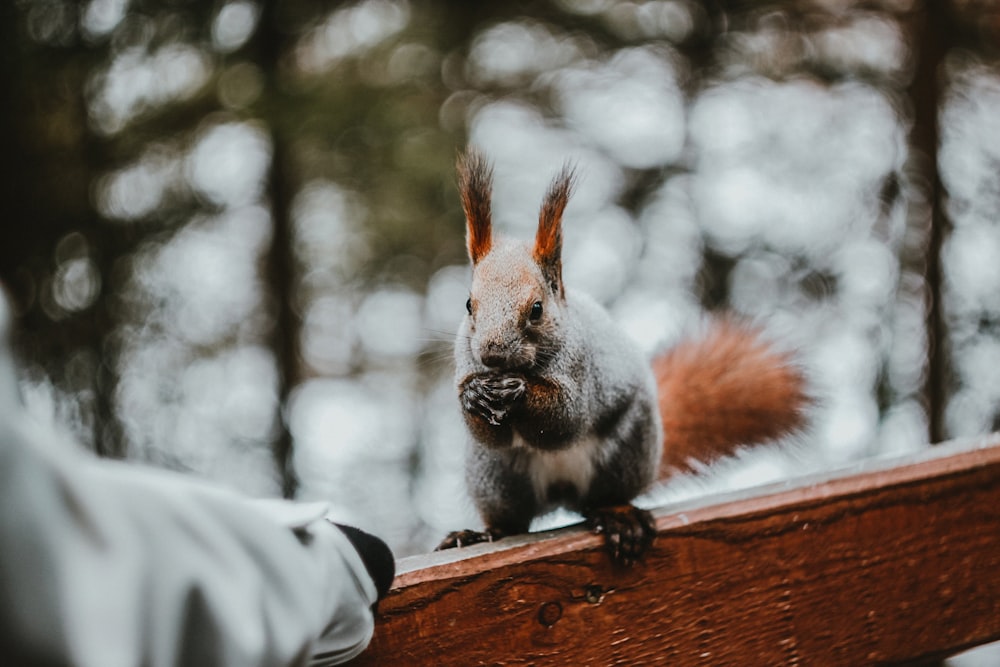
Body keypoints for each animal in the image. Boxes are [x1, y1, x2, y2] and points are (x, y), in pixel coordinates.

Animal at [438, 149, 812, 568]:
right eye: (468, 305)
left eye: (536, 309)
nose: (492, 353)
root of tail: (561, 492)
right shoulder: (466, 365)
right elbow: (486, 431)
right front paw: (474, 395)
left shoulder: (581, 367)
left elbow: (564, 420)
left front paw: (521, 391)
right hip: (495, 474)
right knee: (511, 520)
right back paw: (484, 533)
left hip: (625, 450)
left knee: (603, 498)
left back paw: (618, 517)